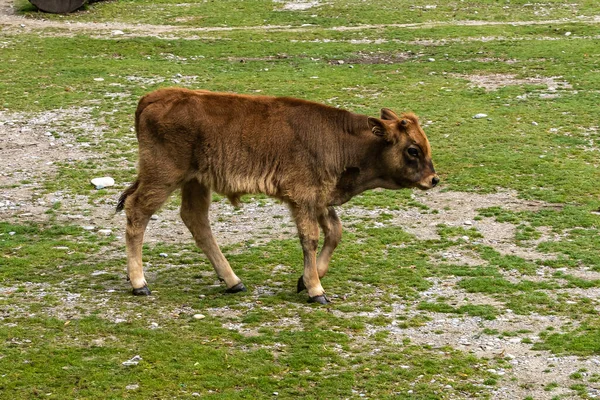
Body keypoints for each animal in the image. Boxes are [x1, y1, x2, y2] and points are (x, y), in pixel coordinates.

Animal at [117, 88, 438, 304]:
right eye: (412, 149)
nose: (433, 179)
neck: (342, 140)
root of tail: (153, 98)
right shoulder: (303, 198)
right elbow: (311, 239)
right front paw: (315, 289)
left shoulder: (319, 199)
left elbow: (334, 233)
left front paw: (304, 281)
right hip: (163, 177)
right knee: (137, 212)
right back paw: (139, 283)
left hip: (195, 182)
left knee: (196, 221)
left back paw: (233, 281)